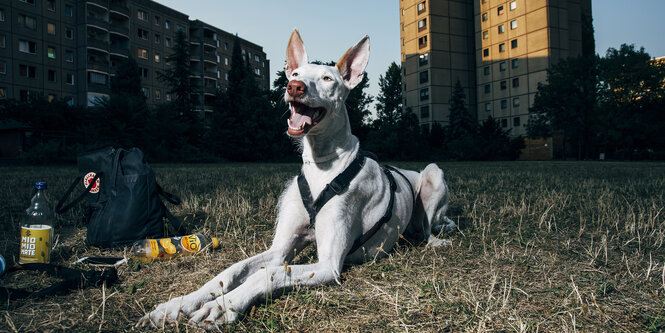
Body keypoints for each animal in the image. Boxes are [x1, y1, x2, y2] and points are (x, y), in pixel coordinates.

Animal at [137, 29, 454, 330]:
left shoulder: (328, 265)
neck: (322, 167)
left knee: (429, 229)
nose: (294, 88)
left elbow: (271, 274)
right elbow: (229, 272)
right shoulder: (279, 250)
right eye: (296, 75)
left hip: (433, 174)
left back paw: (435, 239)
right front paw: (176, 305)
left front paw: (223, 307)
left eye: (327, 78)